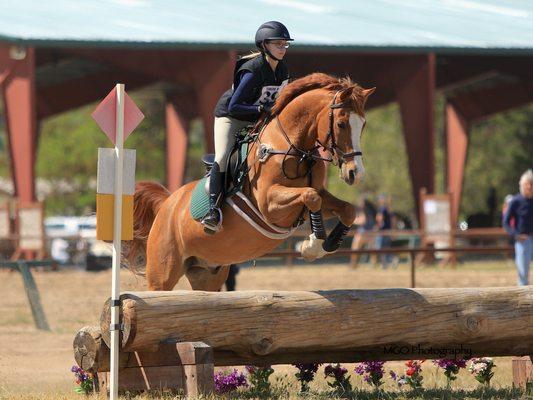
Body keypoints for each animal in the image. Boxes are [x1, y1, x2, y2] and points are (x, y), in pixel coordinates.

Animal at [128, 72, 374, 290]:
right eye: (341, 124)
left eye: (363, 124)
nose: (356, 173)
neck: (290, 145)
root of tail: (167, 203)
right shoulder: (269, 204)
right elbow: (310, 196)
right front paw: (312, 245)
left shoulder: (316, 196)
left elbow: (347, 209)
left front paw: (327, 244)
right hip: (162, 275)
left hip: (207, 273)